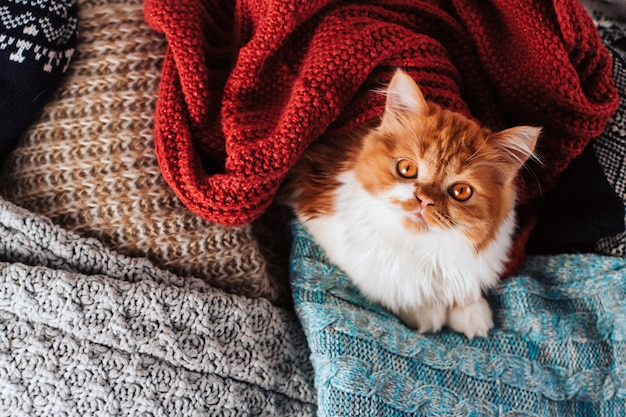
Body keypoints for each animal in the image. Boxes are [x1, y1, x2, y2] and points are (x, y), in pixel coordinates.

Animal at [280, 70, 540, 338]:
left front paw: (470, 311)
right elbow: (394, 289)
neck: (422, 249)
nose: (424, 201)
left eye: (461, 191)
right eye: (406, 168)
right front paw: (425, 311)